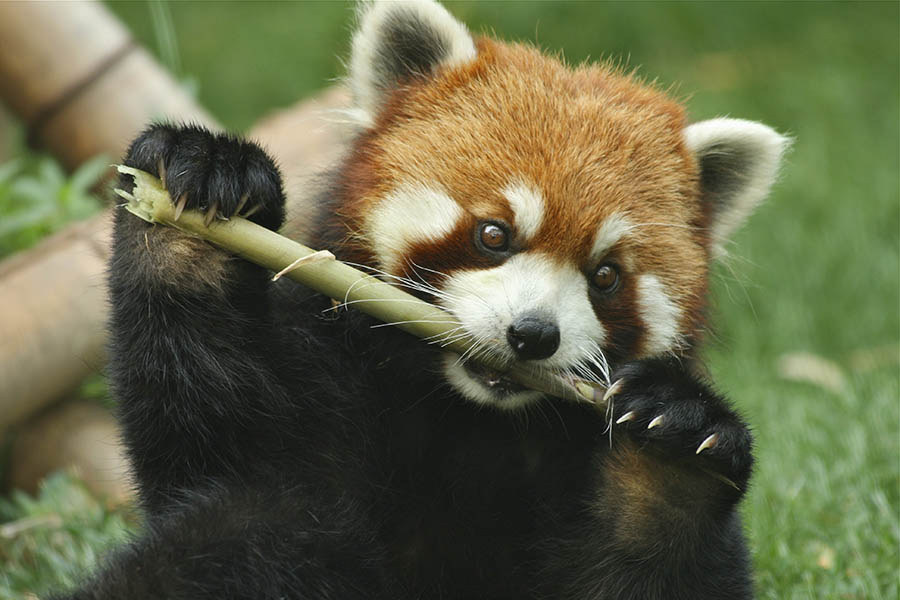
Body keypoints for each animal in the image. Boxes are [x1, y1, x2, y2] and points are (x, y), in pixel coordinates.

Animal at [54, 1, 788, 600]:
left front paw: (678, 449)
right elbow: (221, 456)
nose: (533, 335)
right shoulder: (312, 395)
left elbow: (668, 568)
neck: (468, 417)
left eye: (605, 276)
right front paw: (197, 194)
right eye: (493, 234)